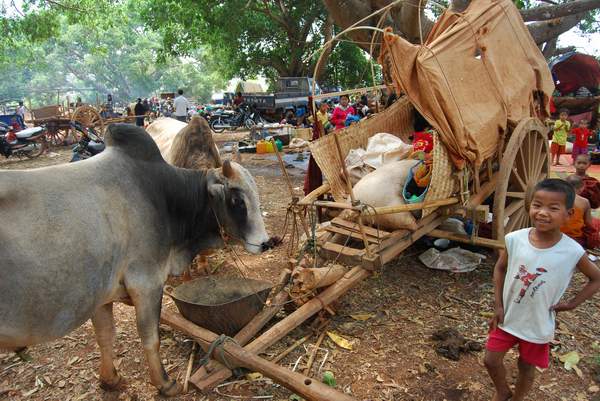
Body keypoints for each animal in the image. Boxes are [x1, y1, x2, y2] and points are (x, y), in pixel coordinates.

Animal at [0, 123, 270, 396]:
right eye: (237, 200)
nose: (266, 242)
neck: (164, 197)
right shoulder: (146, 283)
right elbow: (151, 338)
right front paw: (164, 383)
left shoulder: (102, 295)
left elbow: (105, 336)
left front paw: (110, 379)